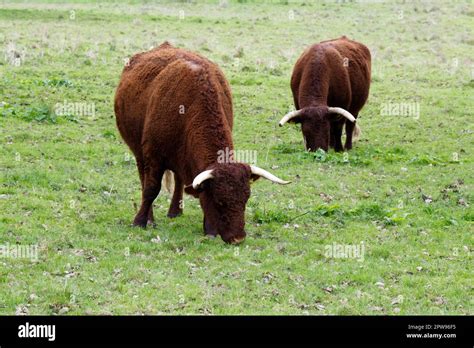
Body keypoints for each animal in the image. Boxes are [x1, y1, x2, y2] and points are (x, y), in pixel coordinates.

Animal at [116, 42, 290, 245]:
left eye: (246, 199)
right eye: (219, 201)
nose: (238, 238)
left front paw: (209, 228)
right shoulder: (153, 156)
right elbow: (151, 188)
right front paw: (140, 221)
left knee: (179, 179)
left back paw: (175, 211)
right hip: (138, 153)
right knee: (144, 180)